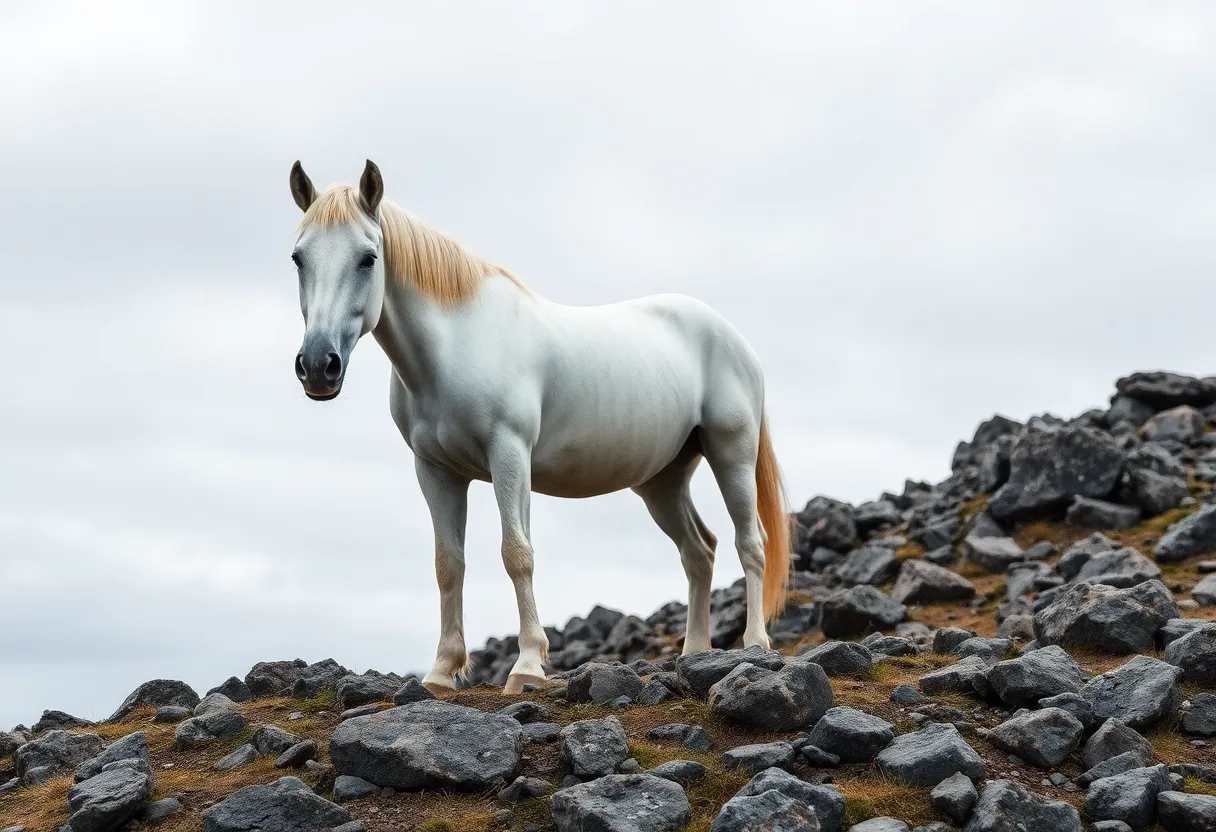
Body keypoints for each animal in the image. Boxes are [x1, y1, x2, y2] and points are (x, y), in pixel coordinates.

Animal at [287, 159, 791, 694]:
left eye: (368, 258)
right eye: (298, 258)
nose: (318, 366)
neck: (456, 345)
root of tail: (734, 338)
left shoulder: (508, 455)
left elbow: (516, 553)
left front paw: (527, 666)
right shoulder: (436, 471)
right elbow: (449, 564)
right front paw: (442, 672)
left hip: (731, 454)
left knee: (749, 542)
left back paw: (755, 645)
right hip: (662, 481)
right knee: (699, 551)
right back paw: (695, 652)